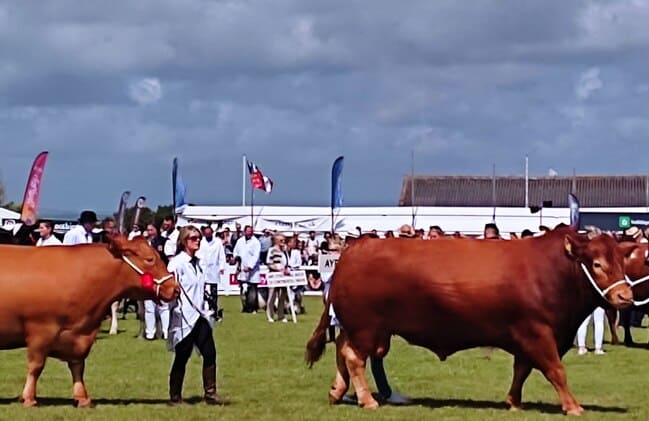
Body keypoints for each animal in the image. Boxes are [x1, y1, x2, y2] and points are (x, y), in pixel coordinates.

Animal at [0, 235, 177, 406]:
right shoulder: (41, 330)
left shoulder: (80, 335)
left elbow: (78, 366)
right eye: (150, 259)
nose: (175, 288)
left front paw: (82, 397)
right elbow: (36, 366)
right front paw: (29, 398)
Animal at [308, 226, 632, 414]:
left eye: (622, 262)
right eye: (597, 264)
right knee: (354, 358)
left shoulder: (525, 337)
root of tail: (353, 250)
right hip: (366, 328)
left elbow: (522, 370)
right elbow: (556, 370)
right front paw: (573, 406)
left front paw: (513, 402)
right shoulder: (538, 333)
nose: (625, 296)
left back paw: (337, 392)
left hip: (361, 328)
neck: (553, 272)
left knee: (342, 350)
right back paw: (367, 400)